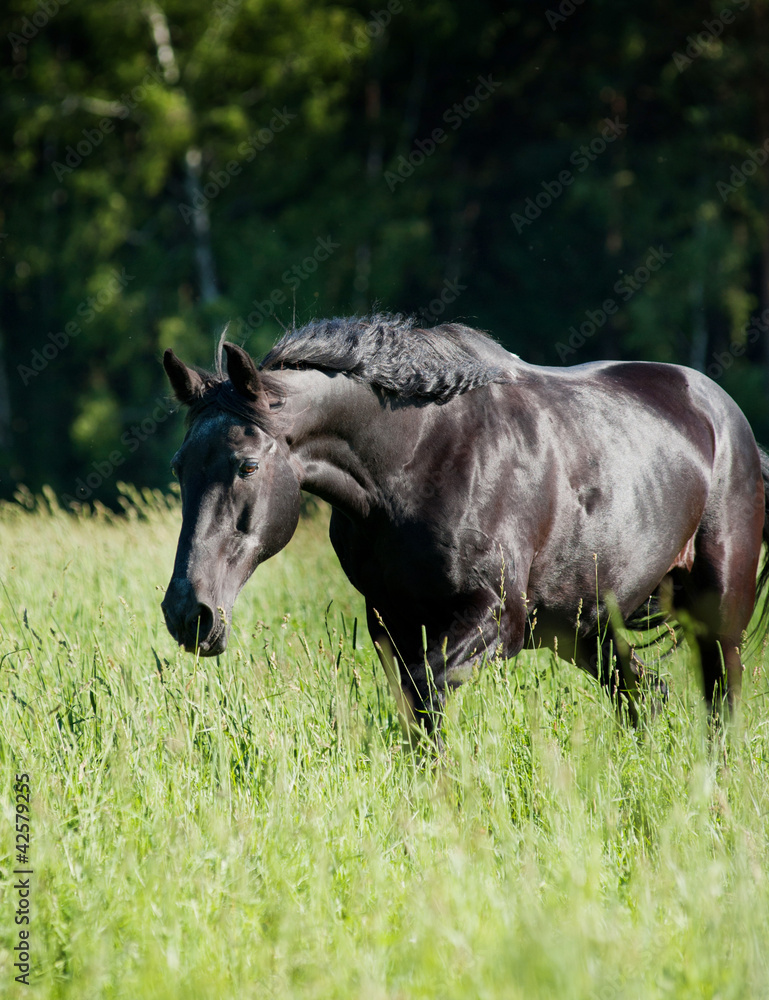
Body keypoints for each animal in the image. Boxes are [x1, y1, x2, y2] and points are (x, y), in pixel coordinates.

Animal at [161, 315, 769, 735]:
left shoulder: (497, 618)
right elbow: (415, 712)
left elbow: (427, 693)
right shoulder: (392, 622)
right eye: (179, 466)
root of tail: (726, 417)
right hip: (586, 625)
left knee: (722, 702)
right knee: (646, 695)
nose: (189, 614)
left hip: (718, 611)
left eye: (247, 465)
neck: (417, 463)